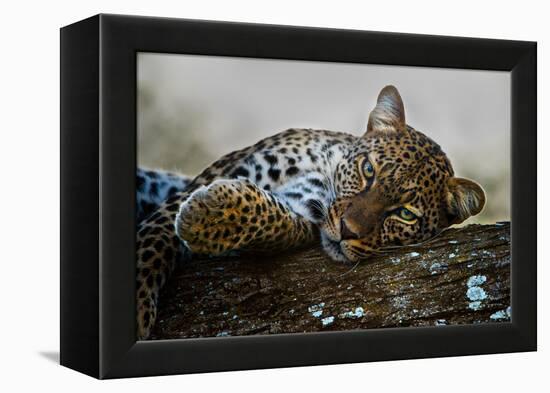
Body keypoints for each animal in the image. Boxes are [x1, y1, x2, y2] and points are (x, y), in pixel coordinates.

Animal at [136, 85, 486, 336]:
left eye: (406, 214)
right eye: (368, 170)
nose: (347, 230)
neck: (322, 170)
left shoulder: (301, 215)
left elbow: (274, 220)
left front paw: (208, 215)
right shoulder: (206, 179)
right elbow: (155, 240)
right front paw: (138, 308)